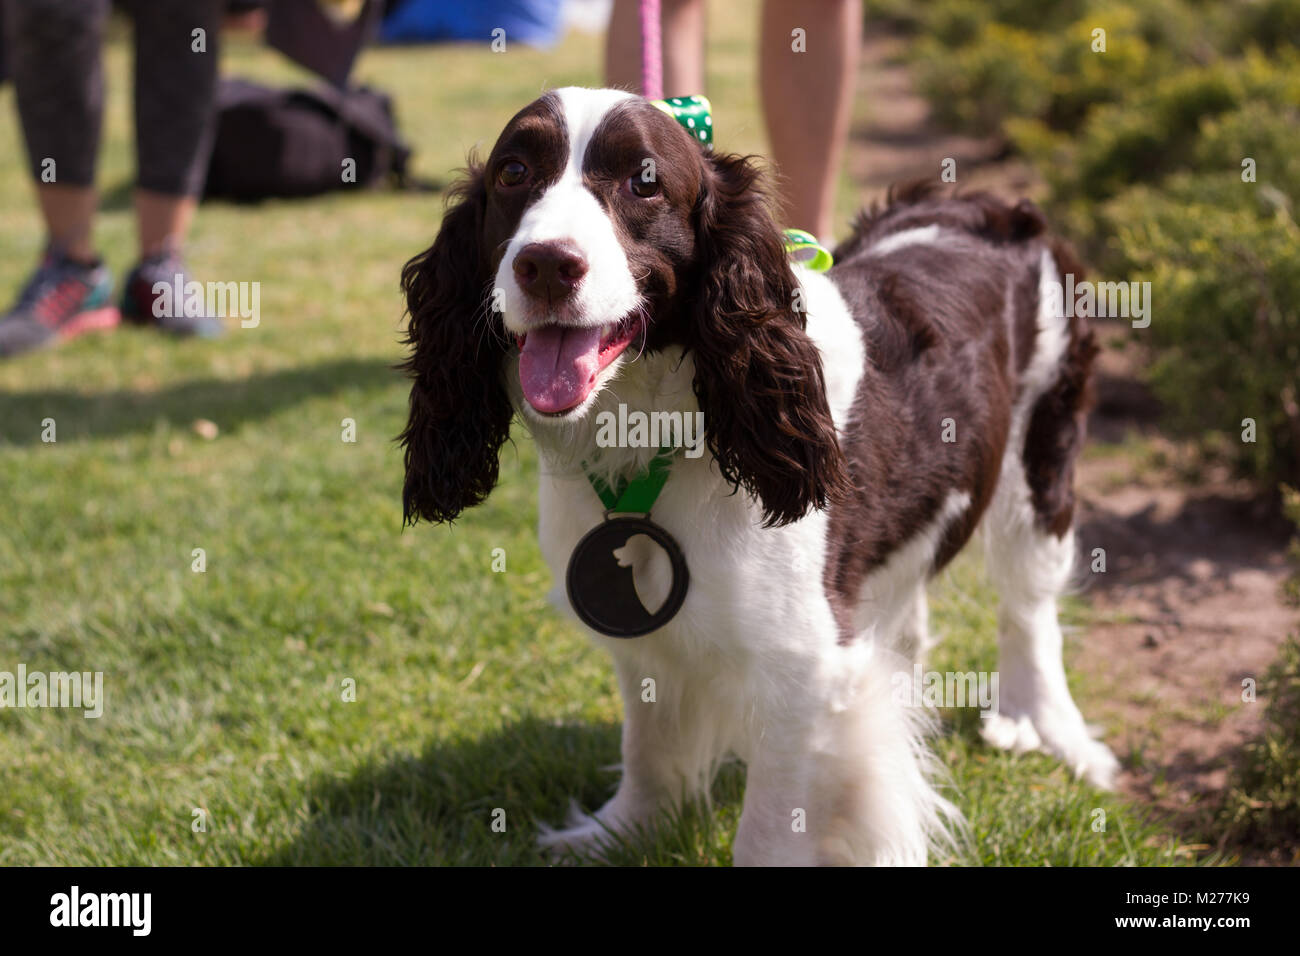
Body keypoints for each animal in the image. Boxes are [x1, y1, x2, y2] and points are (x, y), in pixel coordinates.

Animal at [397, 89, 1118, 868]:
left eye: (644, 182)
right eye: (513, 172)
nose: (546, 264)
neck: (661, 431)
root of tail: (992, 205)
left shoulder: (802, 669)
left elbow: (772, 825)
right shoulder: (652, 632)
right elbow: (649, 742)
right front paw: (621, 832)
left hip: (1039, 462)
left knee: (1029, 610)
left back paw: (1048, 730)